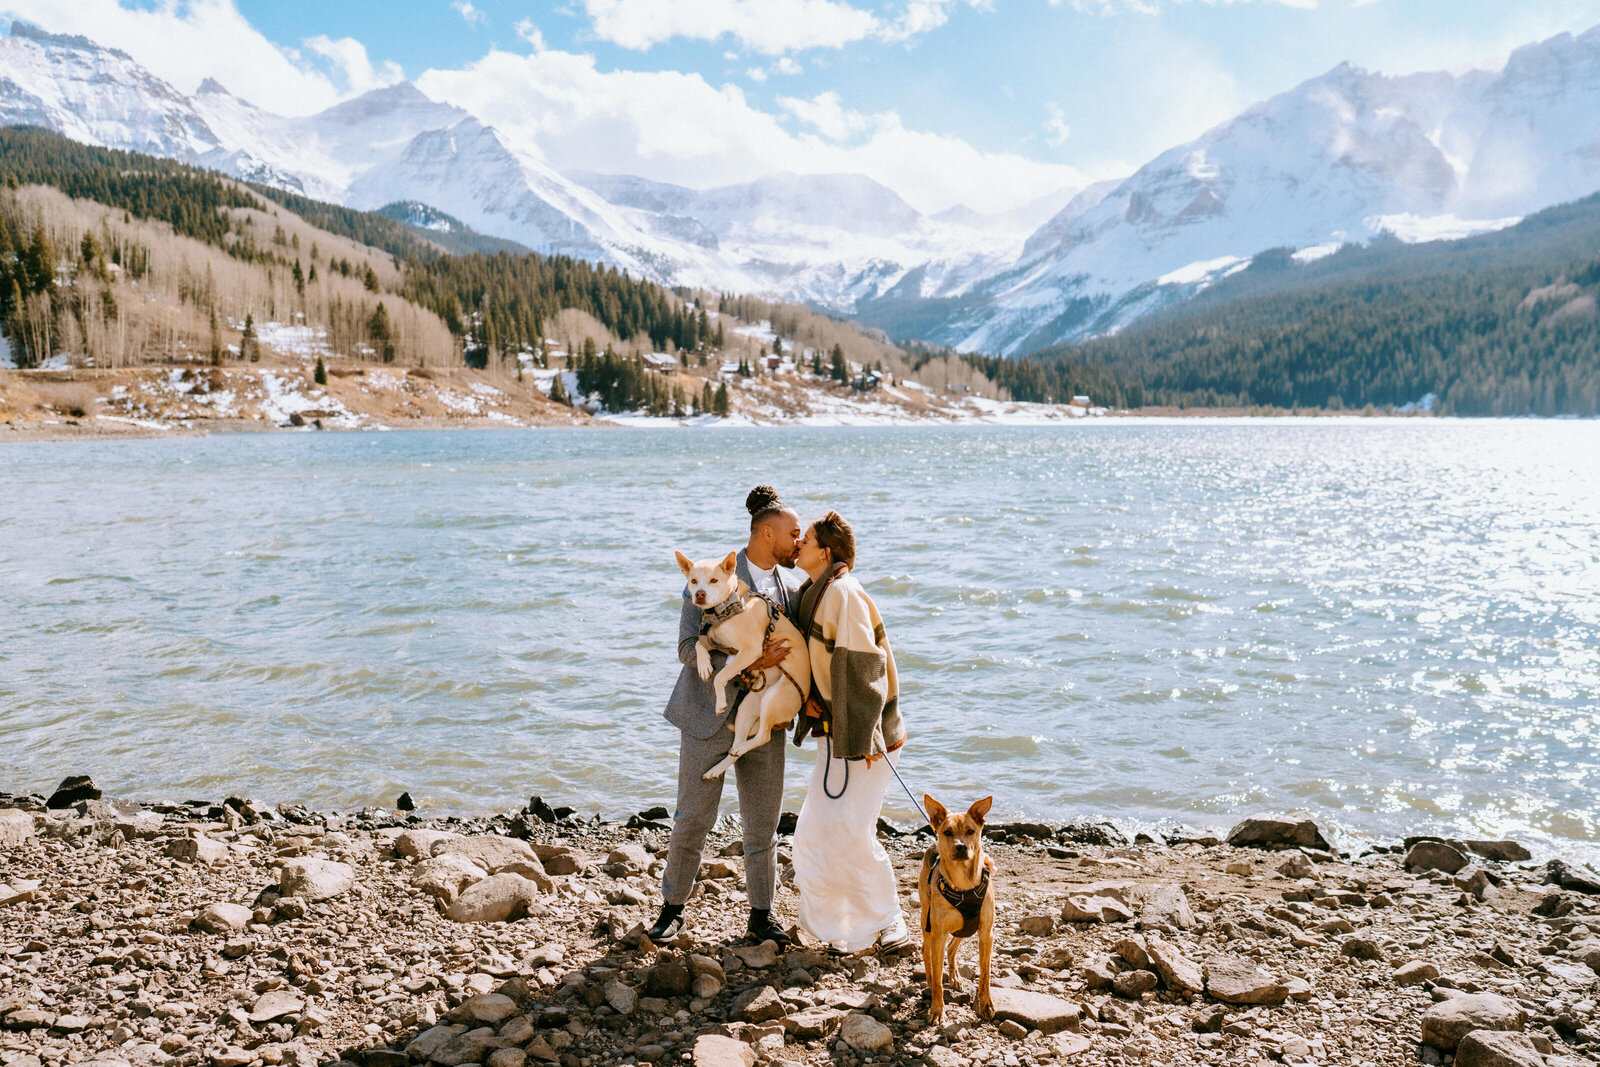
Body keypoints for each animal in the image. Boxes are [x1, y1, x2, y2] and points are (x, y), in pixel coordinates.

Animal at [678, 556, 812, 780]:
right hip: (746, 709)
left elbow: (721, 676)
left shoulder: (751, 651)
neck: (726, 610)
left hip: (774, 698)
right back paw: (717, 767)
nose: (699, 594)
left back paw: (741, 748)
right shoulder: (712, 638)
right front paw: (704, 666)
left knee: (763, 736)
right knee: (737, 747)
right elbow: (697, 644)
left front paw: (720, 703)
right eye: (694, 581)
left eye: (714, 580)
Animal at [921, 793, 992, 1023]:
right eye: (947, 832)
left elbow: (985, 973)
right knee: (926, 951)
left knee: (952, 948)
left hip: (965, 926)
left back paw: (955, 976)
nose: (961, 847)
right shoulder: (938, 934)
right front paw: (936, 1010)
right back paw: (928, 979)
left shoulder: (986, 933)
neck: (964, 885)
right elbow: (937, 982)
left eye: (970, 831)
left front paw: (985, 1004)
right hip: (926, 918)